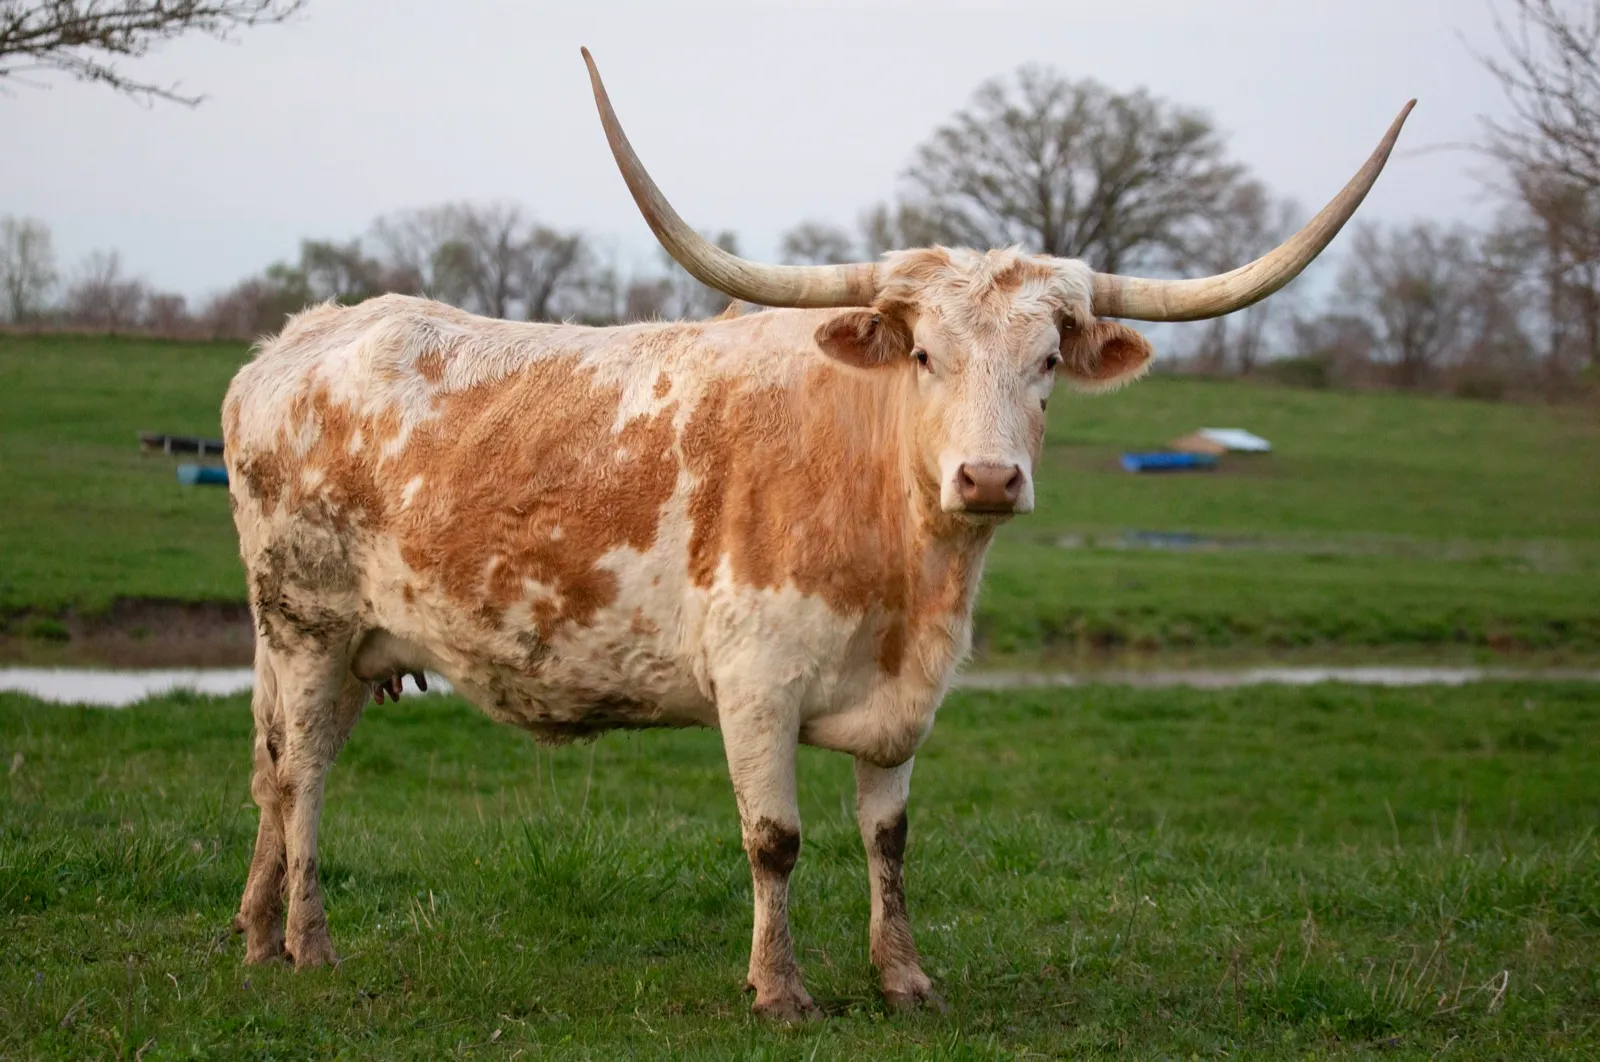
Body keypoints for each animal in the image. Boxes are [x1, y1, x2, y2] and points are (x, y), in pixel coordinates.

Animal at [220, 47, 1412, 1020]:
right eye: (924, 353)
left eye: (1047, 362)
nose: (988, 477)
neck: (905, 578)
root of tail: (295, 341)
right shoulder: (755, 686)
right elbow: (775, 841)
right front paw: (781, 990)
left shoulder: (906, 707)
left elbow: (889, 839)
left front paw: (904, 979)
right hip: (308, 626)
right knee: (303, 776)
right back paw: (311, 946)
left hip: (341, 646)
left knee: (272, 768)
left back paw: (257, 937)